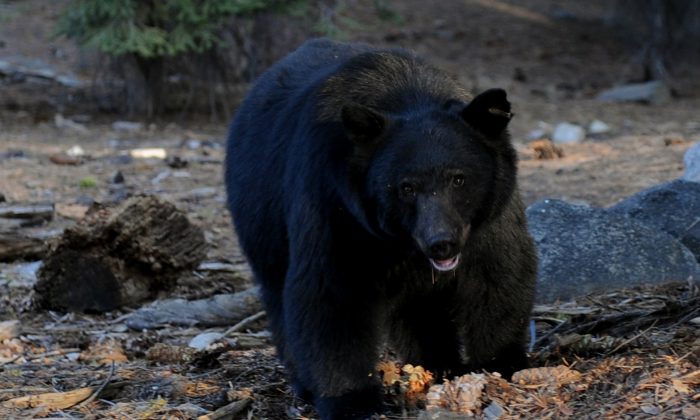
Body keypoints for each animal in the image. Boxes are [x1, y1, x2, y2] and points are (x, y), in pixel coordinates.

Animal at [224, 39, 536, 420]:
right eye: (406, 187)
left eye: (459, 179)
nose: (441, 244)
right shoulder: (336, 206)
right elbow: (332, 294)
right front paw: (351, 400)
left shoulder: (488, 219)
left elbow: (499, 274)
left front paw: (500, 363)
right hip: (261, 221)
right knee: (278, 296)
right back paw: (305, 383)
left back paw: (436, 363)